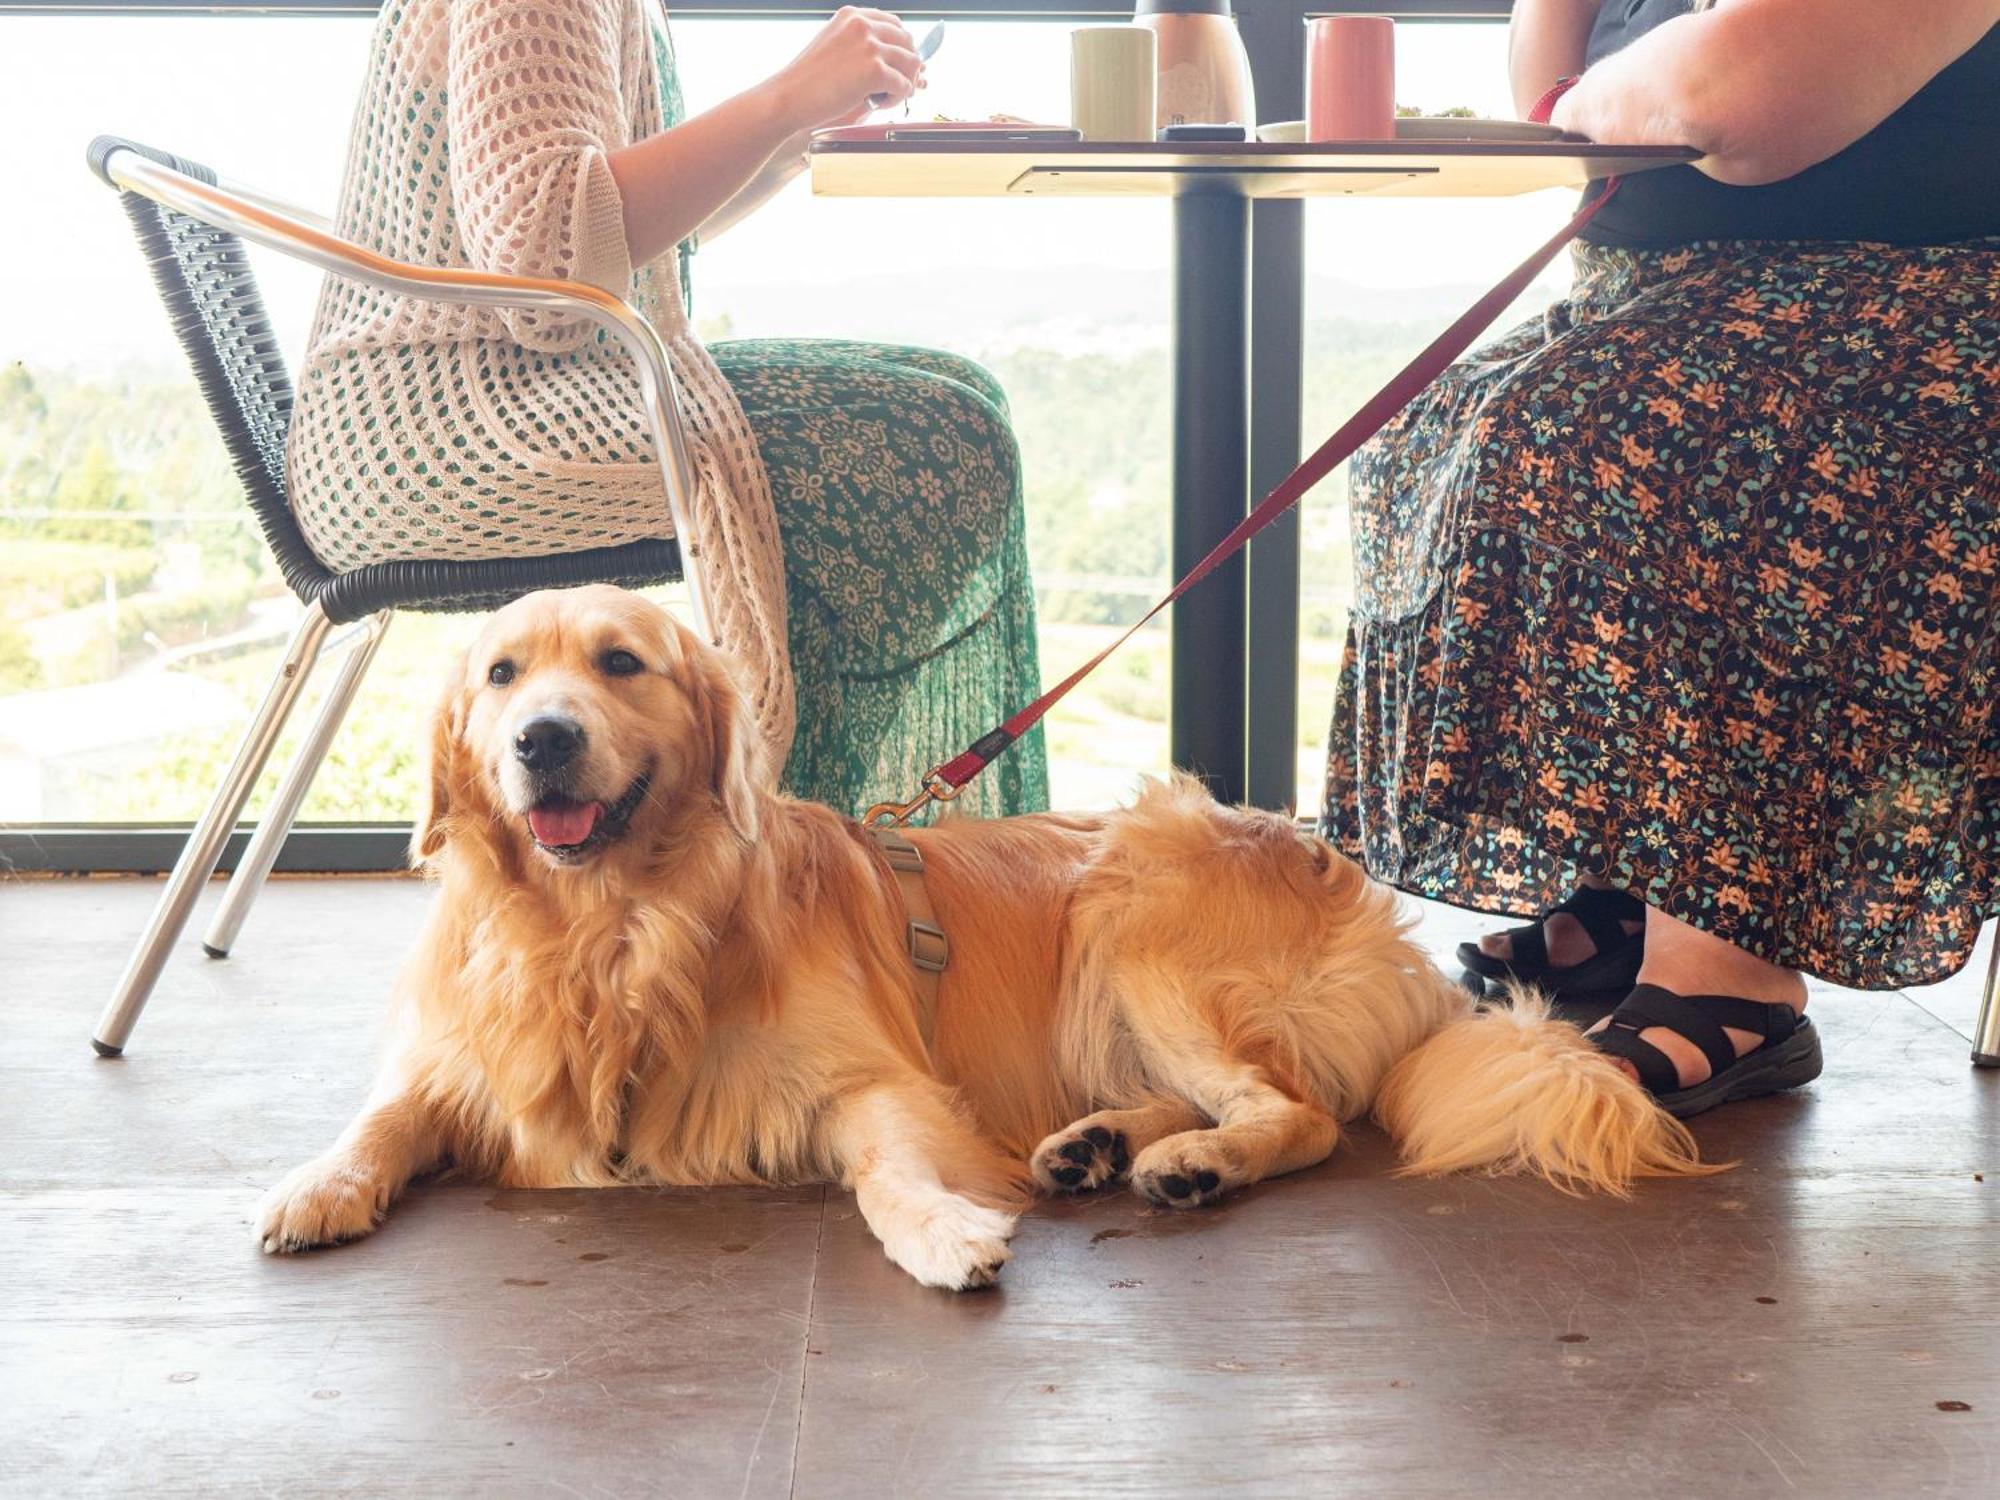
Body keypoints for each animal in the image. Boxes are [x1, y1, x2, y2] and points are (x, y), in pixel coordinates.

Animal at [258, 588, 1712, 1296]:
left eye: (620, 664)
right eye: (501, 676)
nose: (541, 740)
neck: (614, 932)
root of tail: (1374, 916)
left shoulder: (869, 1081)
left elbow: (892, 1169)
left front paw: (945, 1234)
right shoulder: (459, 1059)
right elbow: (383, 1116)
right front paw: (315, 1185)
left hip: (1134, 902)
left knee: (1292, 1111)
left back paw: (1185, 1164)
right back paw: (1096, 1146)